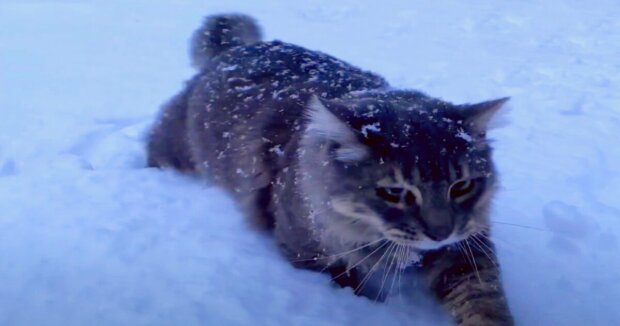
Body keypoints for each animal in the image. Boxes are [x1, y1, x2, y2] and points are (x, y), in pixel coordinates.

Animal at [149, 14, 512, 324]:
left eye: (461, 186)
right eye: (395, 192)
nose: (440, 233)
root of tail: (234, 49)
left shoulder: (468, 246)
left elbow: (483, 300)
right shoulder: (309, 255)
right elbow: (353, 290)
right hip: (176, 149)